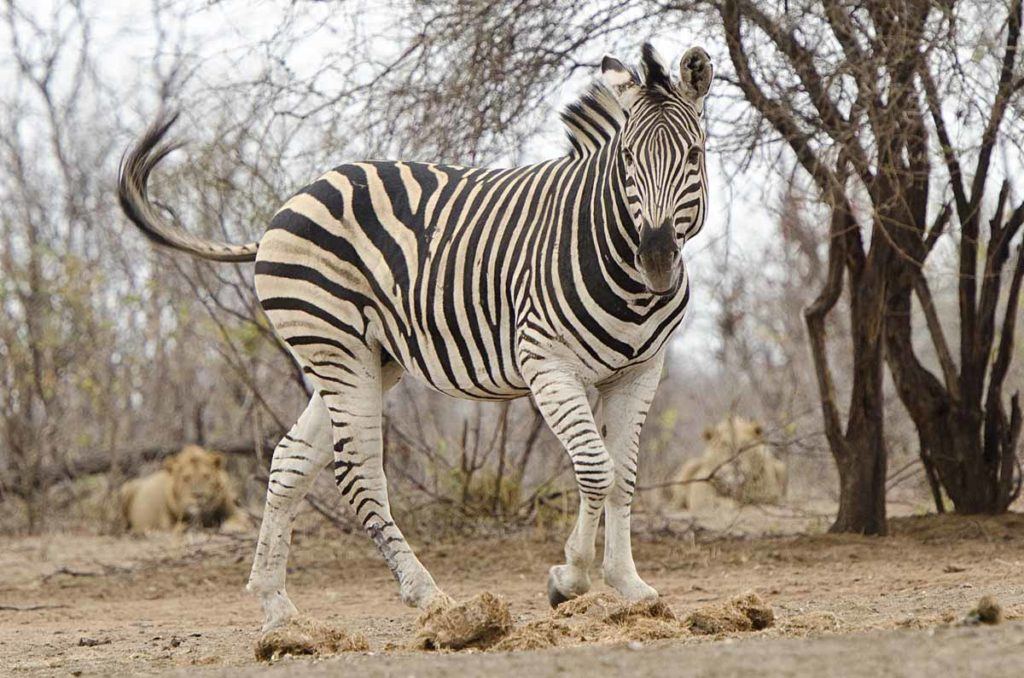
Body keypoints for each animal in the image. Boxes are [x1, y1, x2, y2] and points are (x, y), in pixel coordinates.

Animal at [120, 446, 250, 536]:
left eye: (206, 476)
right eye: (186, 478)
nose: (198, 495)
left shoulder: (236, 511)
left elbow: (239, 519)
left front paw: (234, 527)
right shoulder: (169, 524)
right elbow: (176, 527)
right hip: (126, 489)